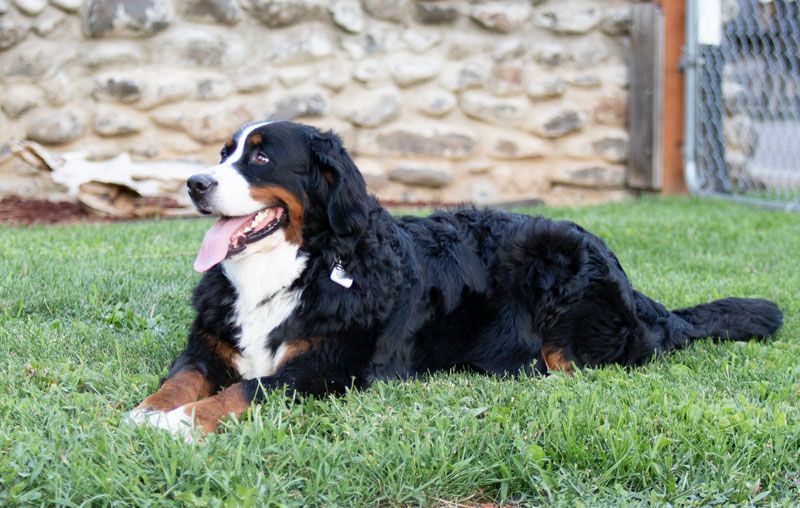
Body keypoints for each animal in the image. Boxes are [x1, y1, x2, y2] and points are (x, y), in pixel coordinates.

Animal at [128, 120, 784, 440]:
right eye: (224, 153)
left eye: (260, 157)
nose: (194, 183)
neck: (297, 268)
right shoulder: (206, 347)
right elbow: (182, 380)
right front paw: (147, 412)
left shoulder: (328, 369)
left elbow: (246, 390)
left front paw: (180, 425)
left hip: (559, 266)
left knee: (571, 367)